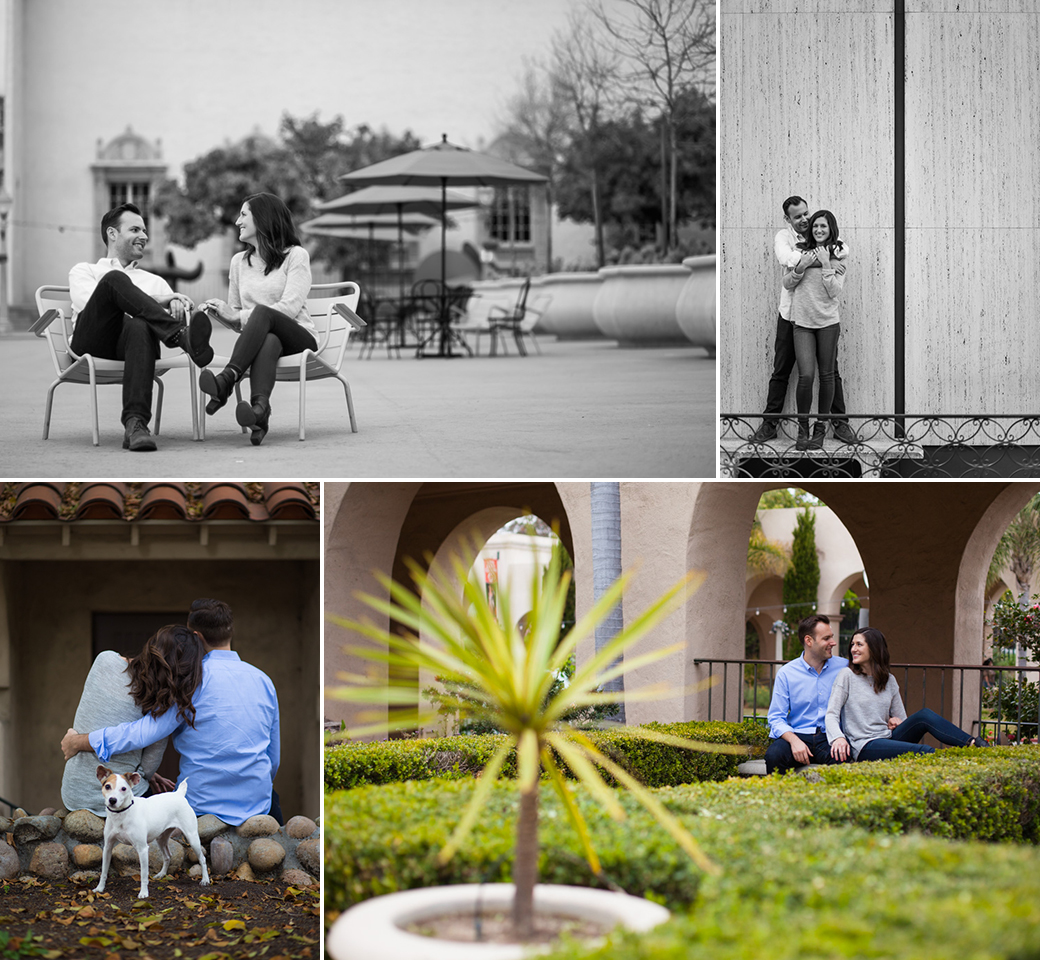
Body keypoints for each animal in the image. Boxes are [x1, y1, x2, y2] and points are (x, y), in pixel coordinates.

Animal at [95, 769, 211, 898]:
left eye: (124, 788)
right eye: (107, 786)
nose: (112, 800)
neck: (122, 814)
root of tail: (179, 794)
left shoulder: (143, 849)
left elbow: (143, 875)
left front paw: (144, 893)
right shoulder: (107, 847)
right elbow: (104, 871)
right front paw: (100, 888)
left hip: (192, 838)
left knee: (202, 858)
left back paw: (205, 880)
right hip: (161, 839)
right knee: (167, 856)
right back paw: (162, 874)